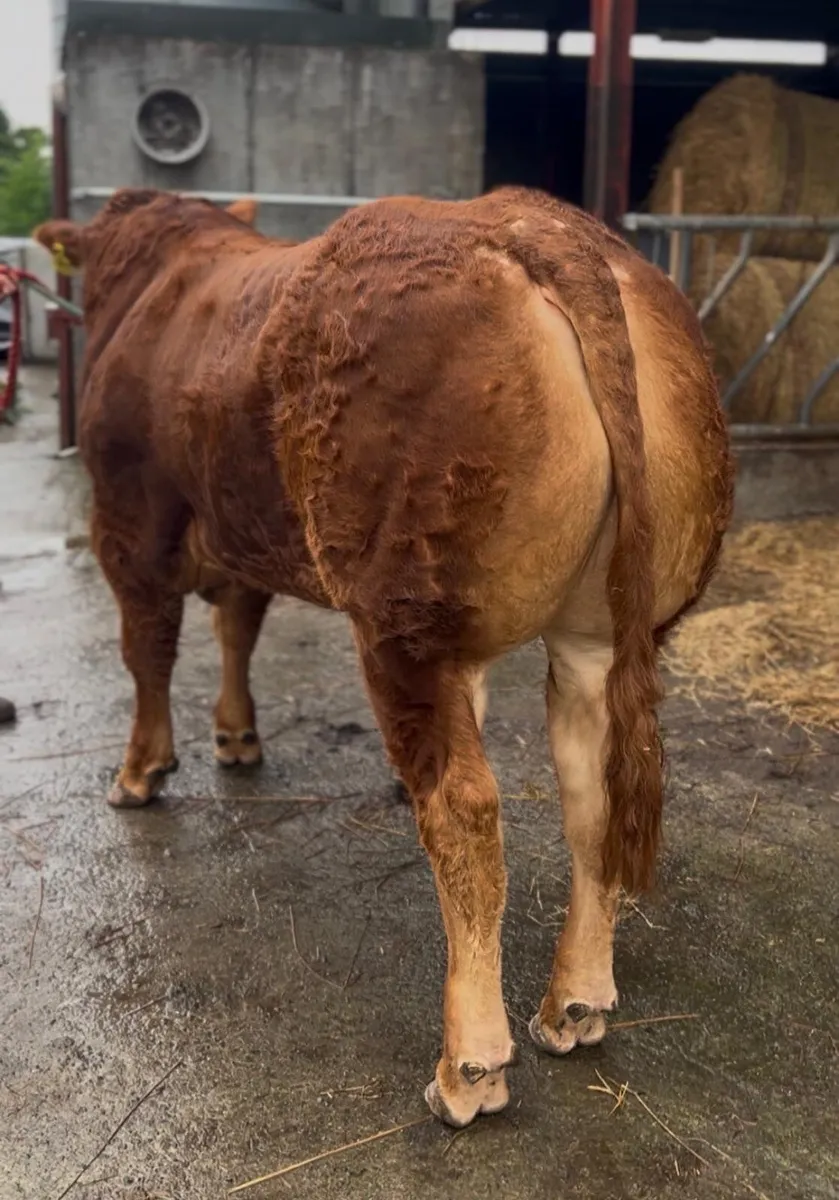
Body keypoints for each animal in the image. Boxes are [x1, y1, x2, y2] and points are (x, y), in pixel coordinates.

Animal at [35, 187, 733, 1127]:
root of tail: (543, 225)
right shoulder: (246, 537)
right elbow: (238, 628)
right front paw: (237, 736)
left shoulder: (129, 527)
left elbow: (149, 651)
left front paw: (142, 770)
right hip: (595, 632)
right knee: (590, 794)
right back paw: (574, 1003)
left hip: (404, 621)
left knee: (467, 810)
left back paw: (470, 1067)